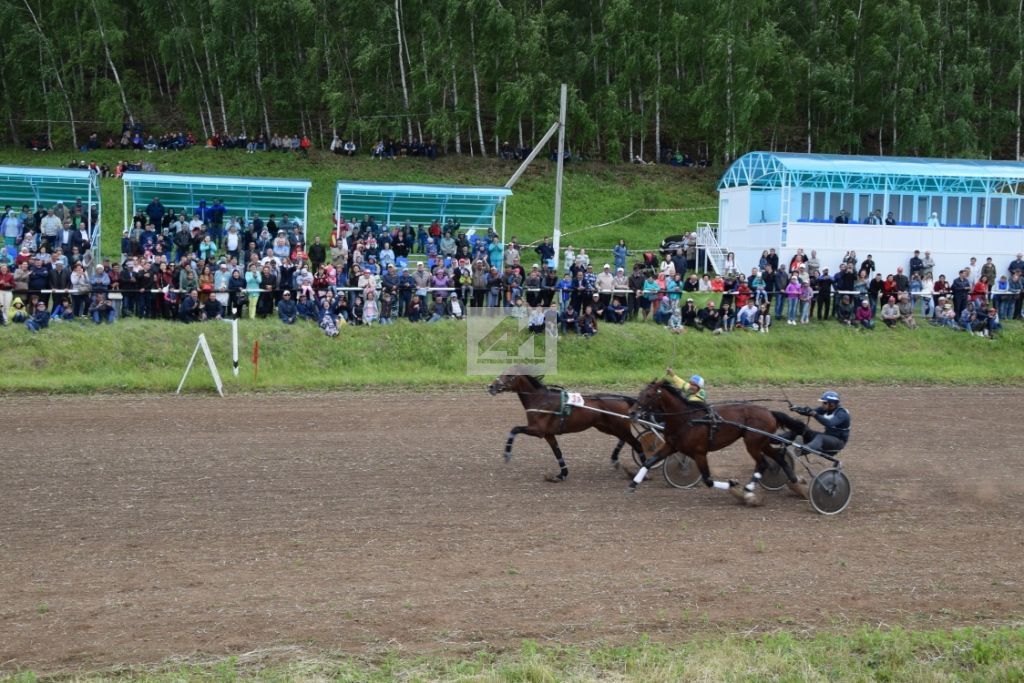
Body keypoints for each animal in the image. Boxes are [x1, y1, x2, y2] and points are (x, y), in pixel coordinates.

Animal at [489, 374, 647, 481]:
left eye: (509, 375)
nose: (491, 386)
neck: (541, 400)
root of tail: (622, 398)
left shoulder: (538, 430)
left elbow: (514, 429)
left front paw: (507, 454)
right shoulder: (548, 434)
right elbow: (557, 453)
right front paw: (562, 474)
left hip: (618, 427)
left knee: (637, 444)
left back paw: (642, 471)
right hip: (607, 427)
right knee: (625, 440)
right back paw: (616, 460)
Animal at [622, 378, 798, 501]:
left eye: (649, 395)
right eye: (640, 392)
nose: (632, 412)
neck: (687, 420)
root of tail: (770, 412)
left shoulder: (700, 453)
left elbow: (708, 480)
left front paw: (733, 484)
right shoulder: (671, 446)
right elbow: (649, 462)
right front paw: (633, 484)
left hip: (753, 443)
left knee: (763, 463)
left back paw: (748, 490)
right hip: (763, 442)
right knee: (778, 458)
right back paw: (793, 480)